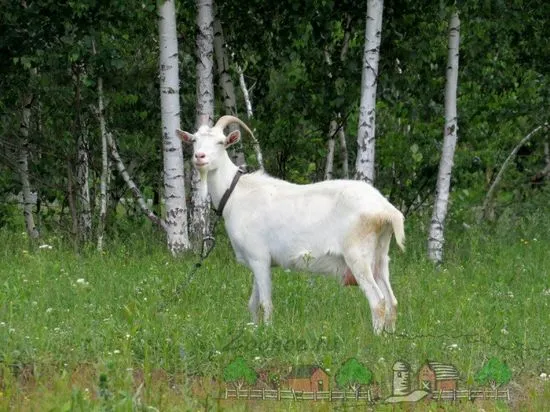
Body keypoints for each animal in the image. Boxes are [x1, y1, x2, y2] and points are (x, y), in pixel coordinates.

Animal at [177, 114, 406, 334]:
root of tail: (386, 210)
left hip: (358, 256)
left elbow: (266, 303)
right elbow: (252, 304)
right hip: (380, 257)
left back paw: (374, 338)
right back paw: (389, 337)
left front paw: (267, 333)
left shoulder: (258, 257)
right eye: (194, 140)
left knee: (378, 301)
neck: (234, 193)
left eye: (221, 142)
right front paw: (253, 331)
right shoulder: (258, 261)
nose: (199, 157)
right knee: (392, 301)